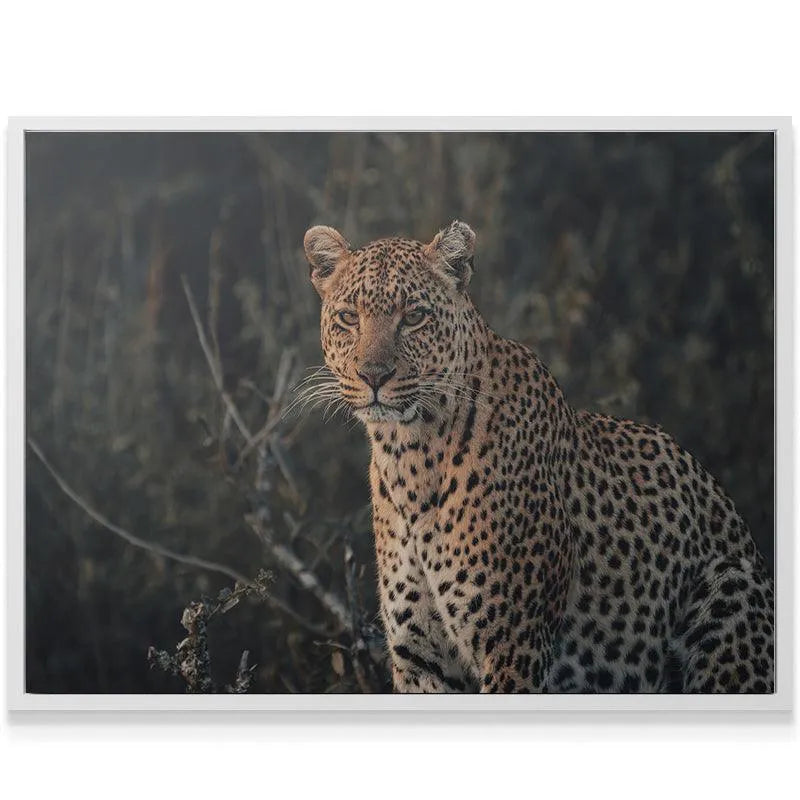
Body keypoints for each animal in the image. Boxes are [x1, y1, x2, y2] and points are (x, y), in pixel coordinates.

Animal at [302, 219, 775, 693]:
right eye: (348, 317)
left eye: (414, 317)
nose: (373, 376)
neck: (410, 456)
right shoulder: (421, 660)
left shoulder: (515, 645)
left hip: (731, 591)